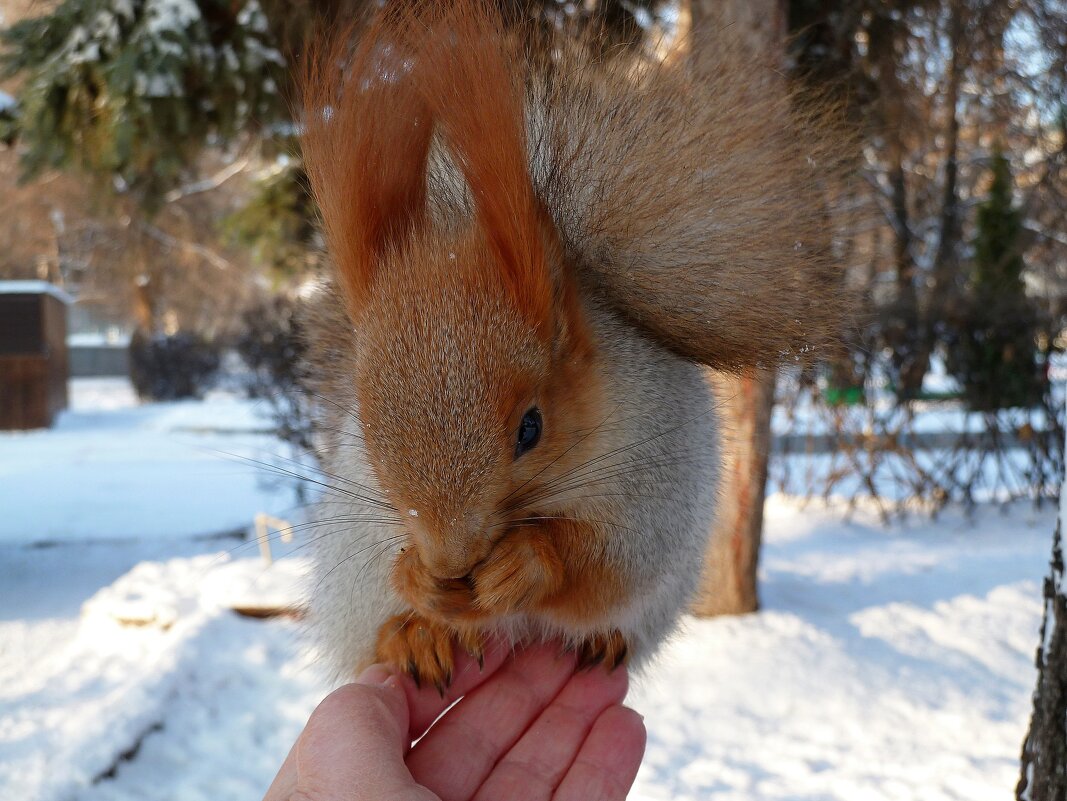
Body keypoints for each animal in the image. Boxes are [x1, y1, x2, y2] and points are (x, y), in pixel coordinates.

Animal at [296, 0, 845, 691]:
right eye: (366, 435)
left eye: (531, 429)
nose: (451, 561)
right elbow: (397, 571)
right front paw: (420, 581)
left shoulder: (655, 479)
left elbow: (606, 565)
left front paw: (527, 564)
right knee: (370, 636)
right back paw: (413, 637)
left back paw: (599, 641)